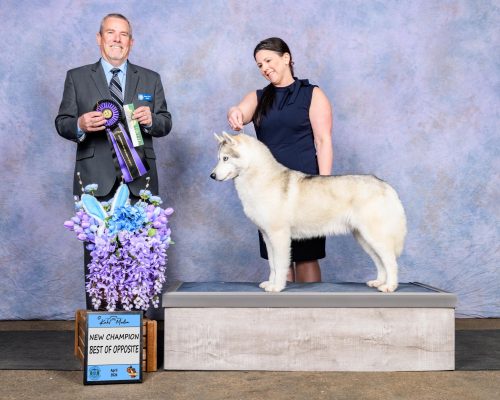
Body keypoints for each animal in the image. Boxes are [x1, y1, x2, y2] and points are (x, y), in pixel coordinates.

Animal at [210, 132, 407, 293]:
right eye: (218, 158)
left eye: (226, 158)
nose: (212, 176)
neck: (261, 179)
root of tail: (384, 184)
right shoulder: (267, 236)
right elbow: (272, 264)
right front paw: (270, 283)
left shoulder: (279, 235)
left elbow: (280, 265)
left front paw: (277, 287)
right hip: (364, 238)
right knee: (380, 261)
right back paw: (379, 282)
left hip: (375, 236)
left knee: (390, 261)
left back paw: (390, 286)